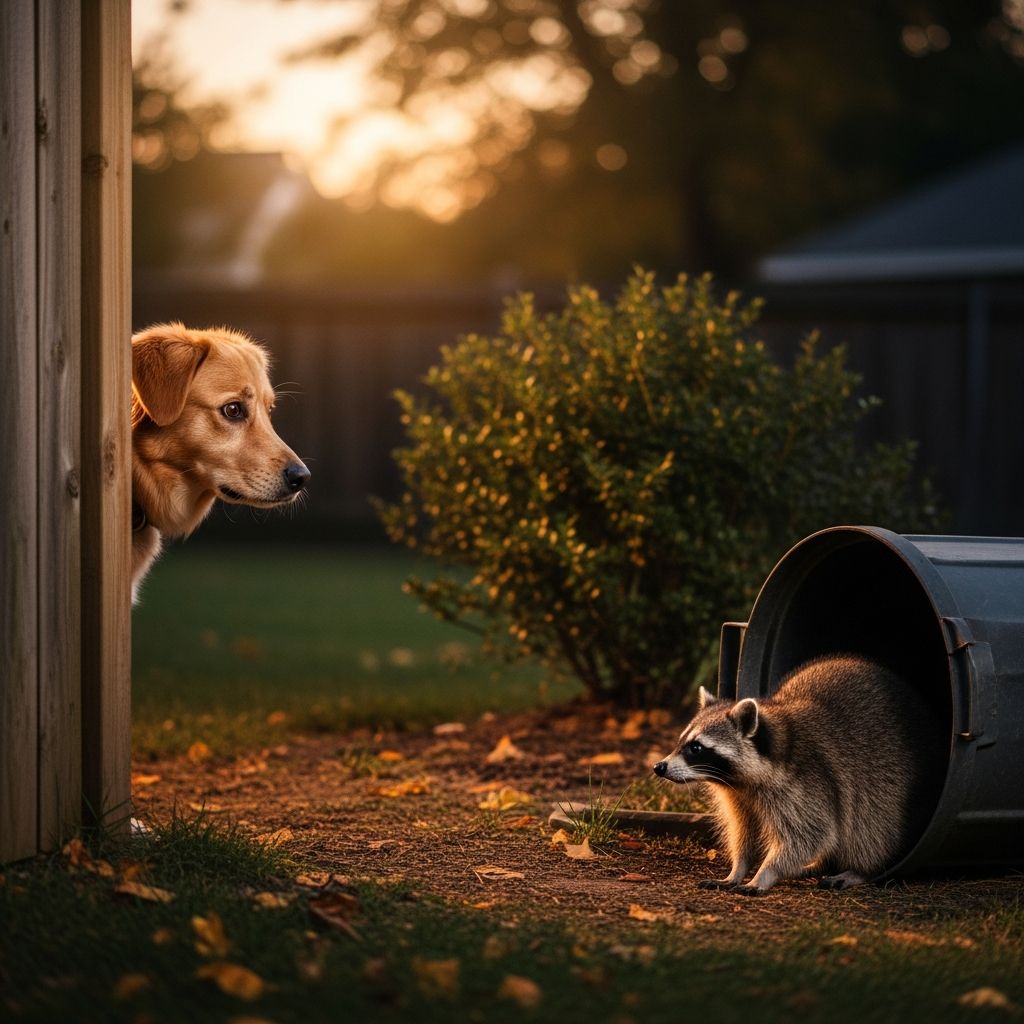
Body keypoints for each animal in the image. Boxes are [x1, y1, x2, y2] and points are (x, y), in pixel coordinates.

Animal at [653, 655, 944, 895]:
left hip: (888, 780)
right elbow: (744, 831)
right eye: (680, 742)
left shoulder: (806, 783)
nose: (659, 767)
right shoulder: (740, 797)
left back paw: (860, 870)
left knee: (872, 824)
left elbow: (810, 834)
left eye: (696, 748)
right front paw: (738, 869)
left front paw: (765, 873)